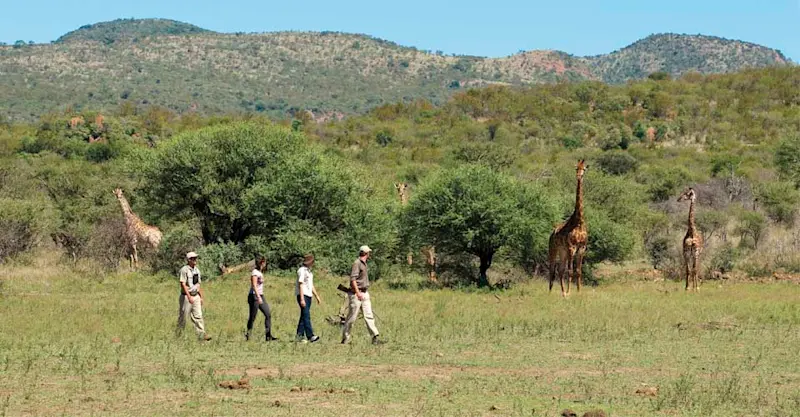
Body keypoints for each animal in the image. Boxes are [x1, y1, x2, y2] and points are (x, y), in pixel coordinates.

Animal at [548, 159, 588, 297]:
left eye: (584, 169)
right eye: (576, 168)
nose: (579, 176)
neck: (579, 222)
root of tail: (552, 233)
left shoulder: (582, 248)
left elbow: (578, 271)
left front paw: (578, 292)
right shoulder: (572, 248)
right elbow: (570, 271)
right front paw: (569, 292)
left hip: (563, 252)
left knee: (560, 270)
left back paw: (562, 293)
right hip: (554, 249)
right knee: (552, 269)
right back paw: (551, 292)